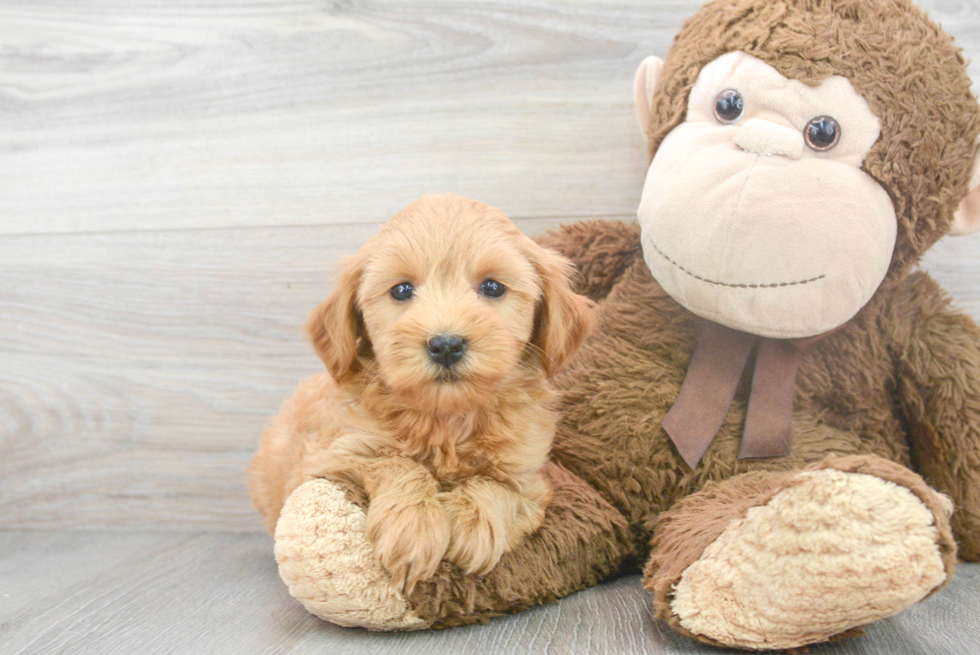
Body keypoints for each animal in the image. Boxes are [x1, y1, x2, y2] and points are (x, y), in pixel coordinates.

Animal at [249, 192, 592, 592]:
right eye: (401, 290)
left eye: (492, 287)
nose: (445, 345)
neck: (446, 420)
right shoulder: (331, 456)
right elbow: (396, 462)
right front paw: (413, 526)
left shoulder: (531, 479)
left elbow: (498, 486)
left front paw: (473, 521)